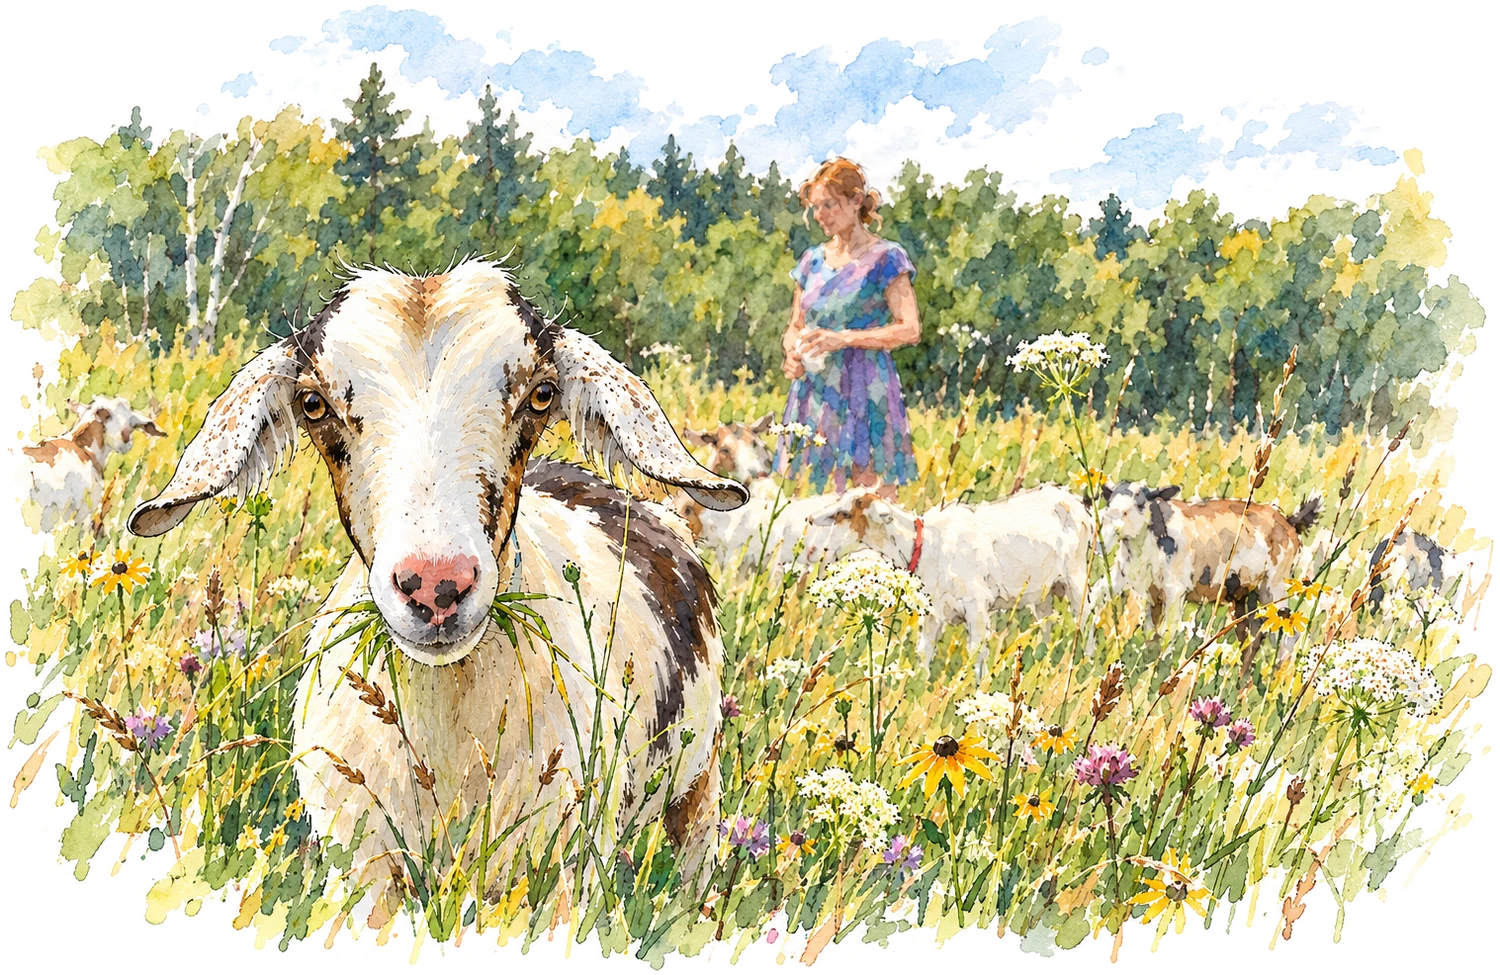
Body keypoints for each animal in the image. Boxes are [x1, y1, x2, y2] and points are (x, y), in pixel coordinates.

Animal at [126, 260, 749, 902]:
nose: (435, 584)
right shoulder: (362, 867)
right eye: (313, 403)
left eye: (541, 395)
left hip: (697, 787)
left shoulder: (566, 867)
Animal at [805, 486, 1093, 670]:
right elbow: (925, 651)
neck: (925, 545)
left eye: (844, 514)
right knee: (1046, 625)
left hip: (1077, 579)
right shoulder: (933, 613)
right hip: (1043, 591)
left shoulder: (976, 607)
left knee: (1086, 620)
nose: (814, 552)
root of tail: (1072, 501)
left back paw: (1087, 664)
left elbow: (977, 653)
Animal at [1088, 481, 1321, 658]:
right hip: (1246, 596)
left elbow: (1166, 635)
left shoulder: (1175, 591)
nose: (1101, 542)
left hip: (1273, 588)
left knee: (1287, 635)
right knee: (1253, 637)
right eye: (1109, 504)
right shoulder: (1131, 582)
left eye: (1139, 505)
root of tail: (1289, 522)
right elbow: (1097, 598)